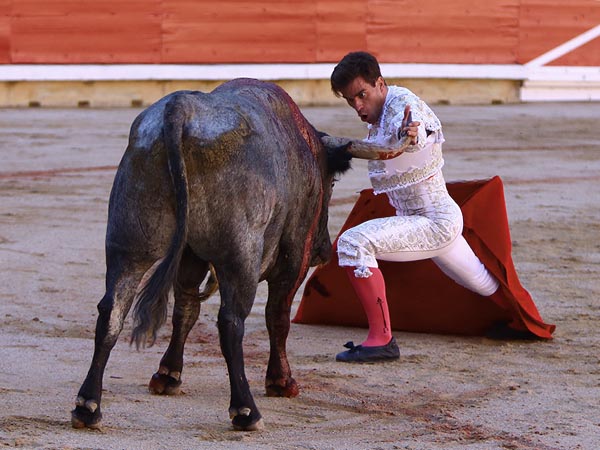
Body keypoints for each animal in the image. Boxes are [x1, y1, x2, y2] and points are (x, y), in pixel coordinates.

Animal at [69, 78, 408, 432]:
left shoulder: (190, 256)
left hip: (129, 243)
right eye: (330, 184)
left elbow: (185, 310)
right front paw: (281, 382)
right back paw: (246, 410)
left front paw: (168, 375)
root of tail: (181, 111)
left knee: (112, 311)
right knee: (232, 322)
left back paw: (87, 405)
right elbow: (277, 316)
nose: (323, 249)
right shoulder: (293, 258)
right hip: (240, 255)